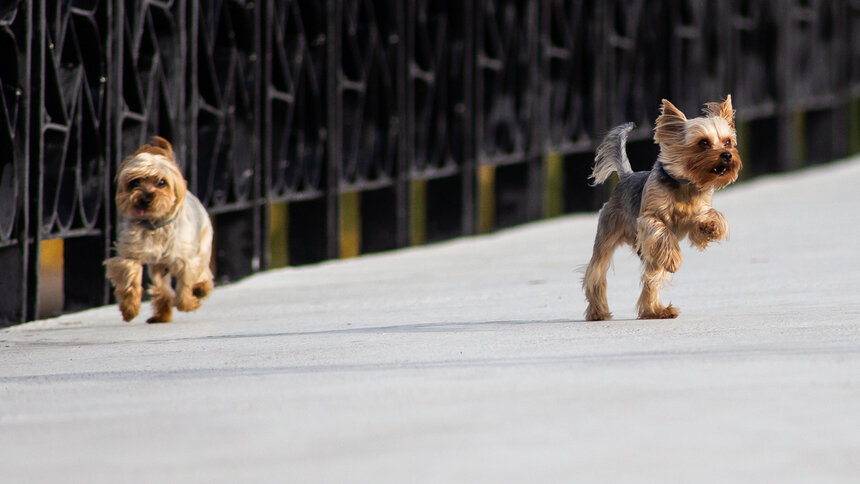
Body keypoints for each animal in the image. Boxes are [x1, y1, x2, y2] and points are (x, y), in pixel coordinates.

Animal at [104, 136, 213, 324]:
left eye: (161, 182)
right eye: (135, 182)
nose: (145, 199)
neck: (155, 224)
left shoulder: (186, 259)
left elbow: (185, 284)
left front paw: (188, 303)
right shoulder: (130, 255)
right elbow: (130, 275)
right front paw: (130, 308)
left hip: (203, 243)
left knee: (203, 271)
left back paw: (201, 289)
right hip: (158, 266)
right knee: (162, 287)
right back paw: (161, 314)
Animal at [584, 96, 740, 320]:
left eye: (728, 141)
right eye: (703, 143)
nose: (727, 155)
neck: (685, 184)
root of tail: (626, 176)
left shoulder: (697, 212)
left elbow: (708, 217)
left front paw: (712, 226)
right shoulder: (648, 220)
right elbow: (662, 231)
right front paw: (674, 258)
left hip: (649, 254)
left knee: (651, 277)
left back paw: (655, 311)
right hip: (608, 233)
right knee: (596, 273)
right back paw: (598, 312)